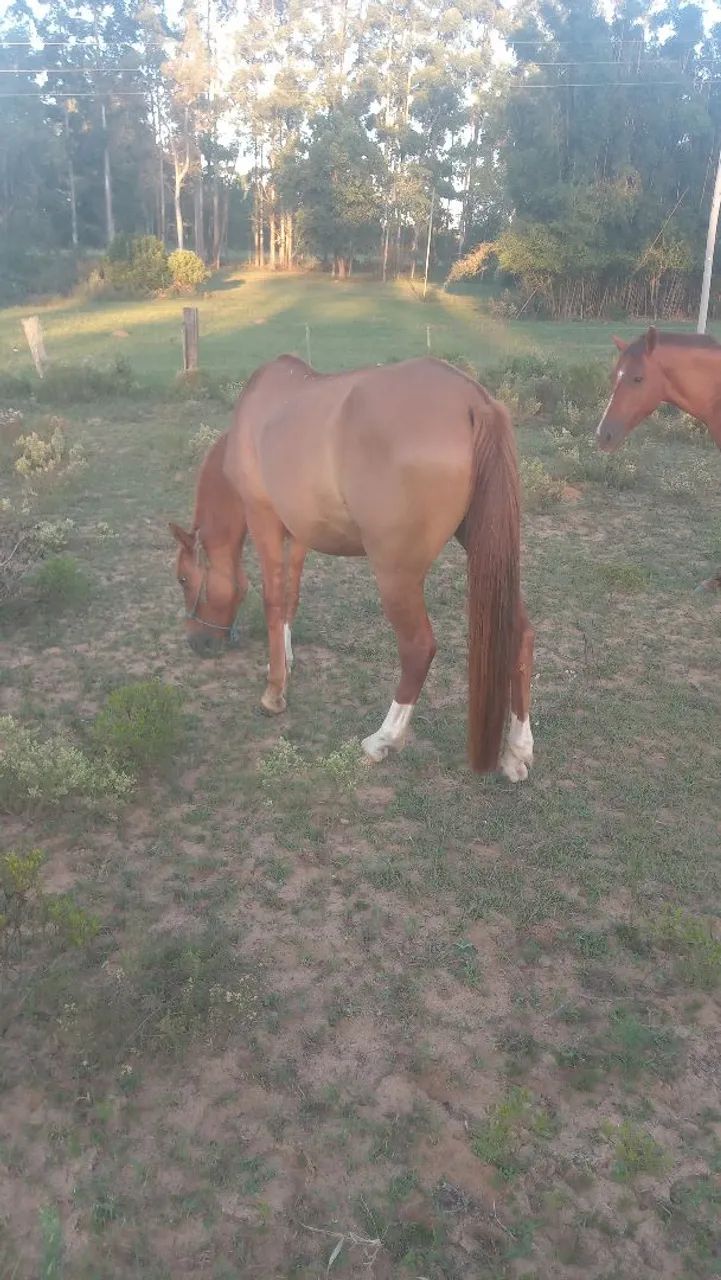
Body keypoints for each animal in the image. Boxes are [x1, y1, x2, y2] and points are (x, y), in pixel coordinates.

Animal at [170, 354, 535, 781]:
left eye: (183, 579)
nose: (196, 642)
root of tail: (474, 401)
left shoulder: (264, 522)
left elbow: (273, 602)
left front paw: (274, 693)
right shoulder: (301, 532)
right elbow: (291, 599)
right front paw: (285, 660)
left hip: (395, 574)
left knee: (418, 649)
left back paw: (382, 740)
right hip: (488, 551)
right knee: (519, 634)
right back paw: (516, 752)